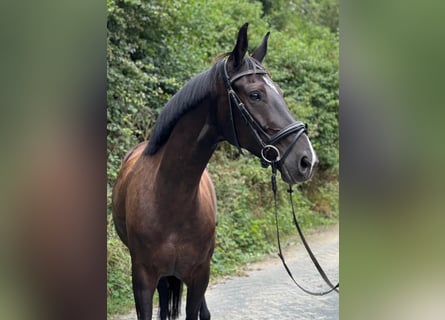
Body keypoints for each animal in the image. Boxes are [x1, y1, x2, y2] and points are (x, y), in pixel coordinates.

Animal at [112, 23, 318, 320]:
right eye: (255, 94)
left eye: (279, 91)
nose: (307, 160)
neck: (170, 198)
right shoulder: (142, 281)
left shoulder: (200, 276)